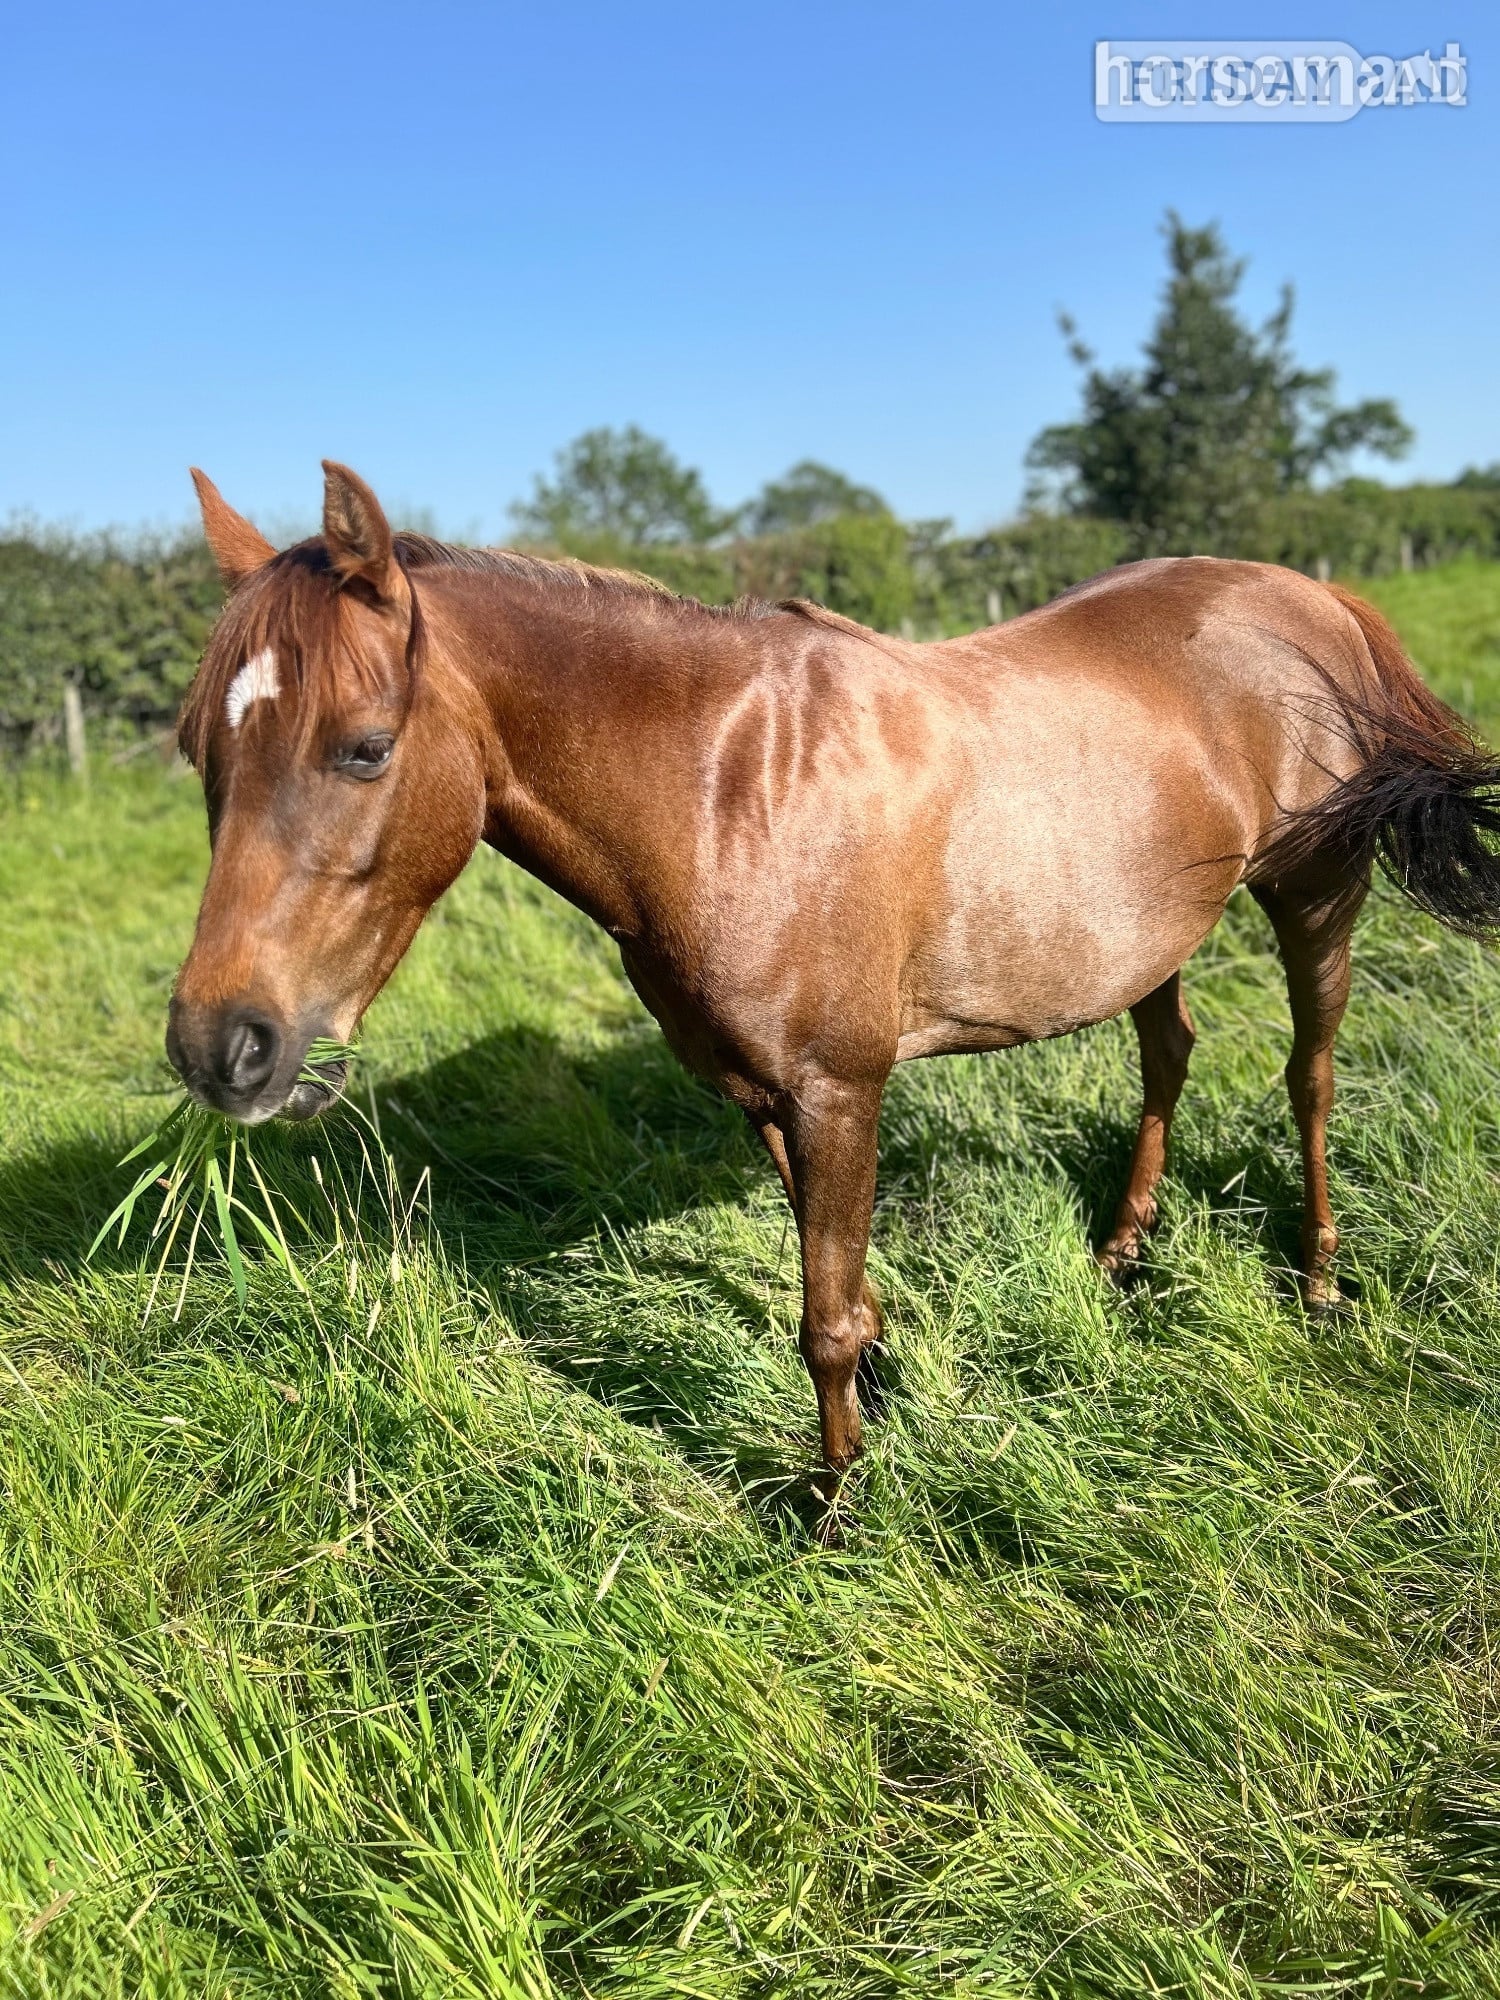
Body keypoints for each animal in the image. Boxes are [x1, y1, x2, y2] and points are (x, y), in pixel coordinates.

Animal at [167, 461, 1500, 1486]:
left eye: (364, 748)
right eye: (198, 750)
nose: (218, 1046)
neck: (726, 786)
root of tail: (1316, 593)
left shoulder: (839, 1091)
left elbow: (817, 1318)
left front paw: (838, 1497)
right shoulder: (766, 1097)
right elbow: (839, 1287)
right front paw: (887, 1384)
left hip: (1316, 895)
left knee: (1310, 1075)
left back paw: (1319, 1277)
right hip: (1147, 933)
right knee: (1168, 1054)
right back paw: (1123, 1250)